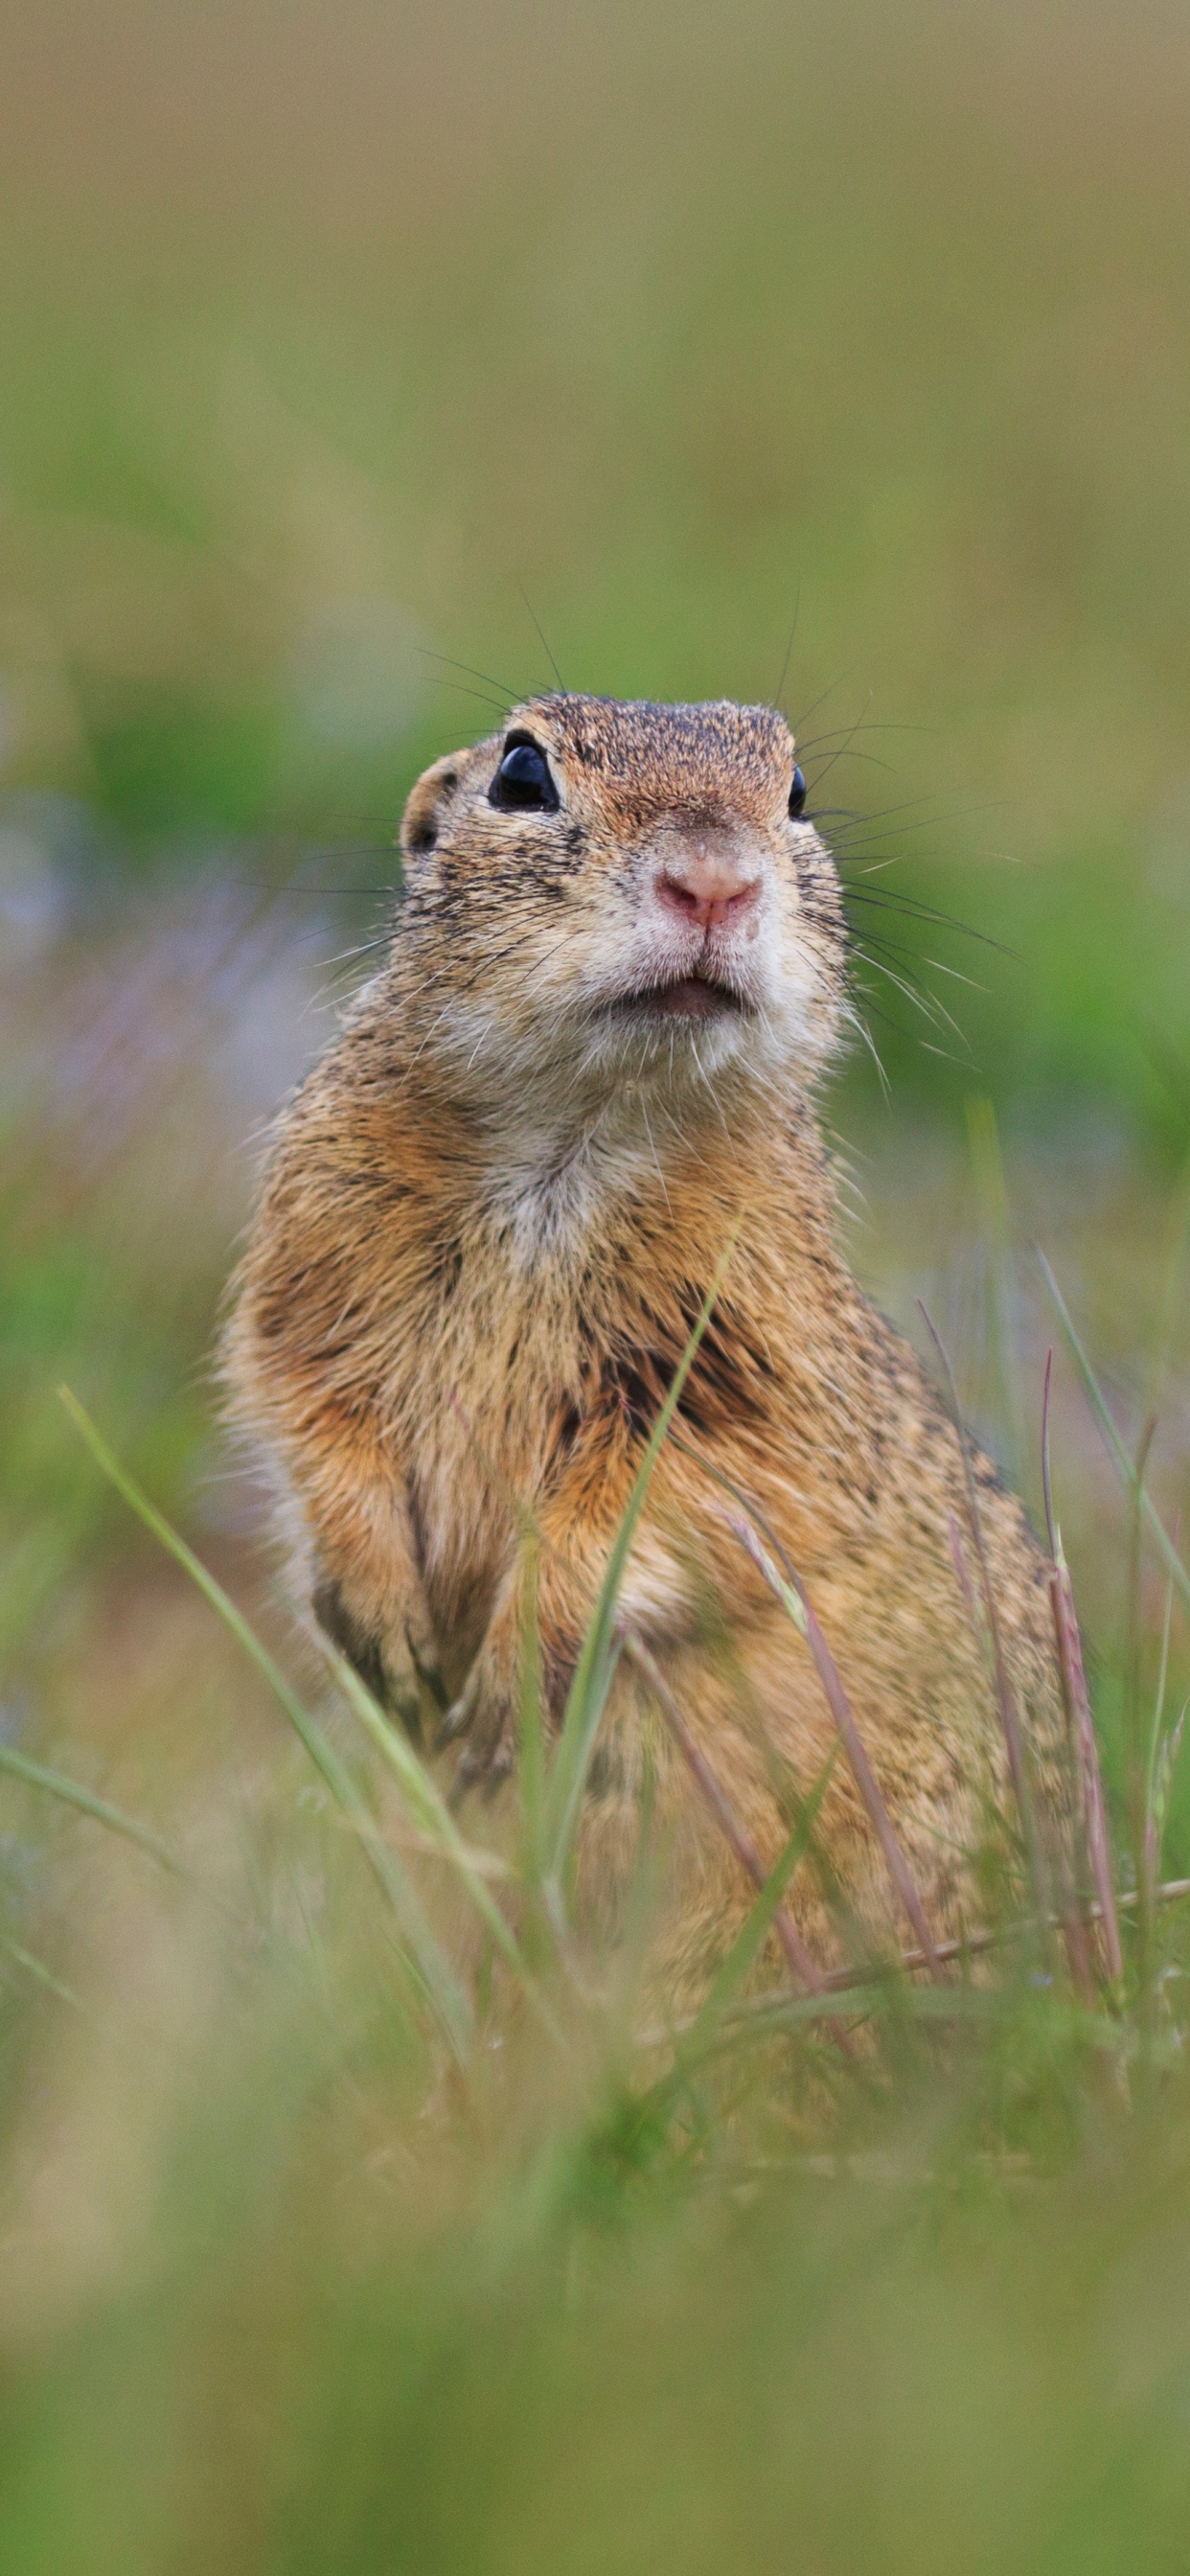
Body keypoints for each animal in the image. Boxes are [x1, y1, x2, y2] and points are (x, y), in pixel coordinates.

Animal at [227, 701, 1065, 1989]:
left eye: (797, 792)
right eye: (522, 774)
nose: (714, 882)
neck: (579, 1130)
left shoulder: (755, 1361)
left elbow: (679, 1496)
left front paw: (509, 1685)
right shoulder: (311, 1262)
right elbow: (311, 1411)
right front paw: (387, 1634)